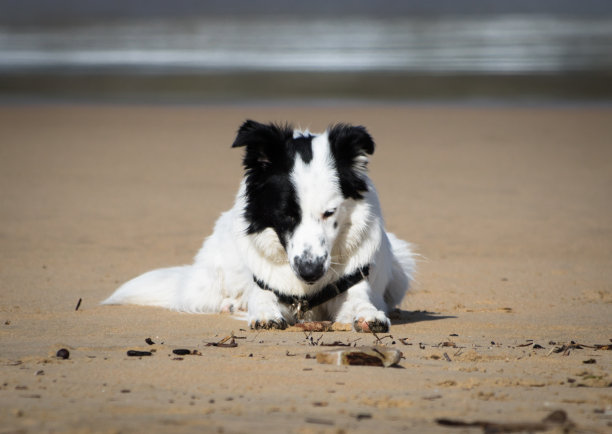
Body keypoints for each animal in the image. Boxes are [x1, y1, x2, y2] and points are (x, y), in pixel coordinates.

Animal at [103, 120, 414, 334]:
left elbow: (361, 303)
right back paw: (230, 304)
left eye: (329, 213)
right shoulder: (264, 284)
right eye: (286, 214)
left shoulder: (352, 284)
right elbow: (261, 299)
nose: (310, 271)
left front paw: (369, 315)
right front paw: (263, 314)